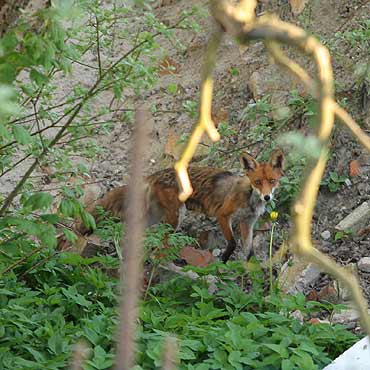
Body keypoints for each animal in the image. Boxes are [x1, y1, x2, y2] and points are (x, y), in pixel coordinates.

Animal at [79, 149, 284, 262]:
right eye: (257, 182)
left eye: (272, 181)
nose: (267, 197)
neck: (250, 199)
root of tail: (155, 174)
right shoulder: (223, 215)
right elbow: (232, 244)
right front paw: (223, 262)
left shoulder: (247, 223)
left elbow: (250, 253)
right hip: (175, 218)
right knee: (159, 247)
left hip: (154, 217)